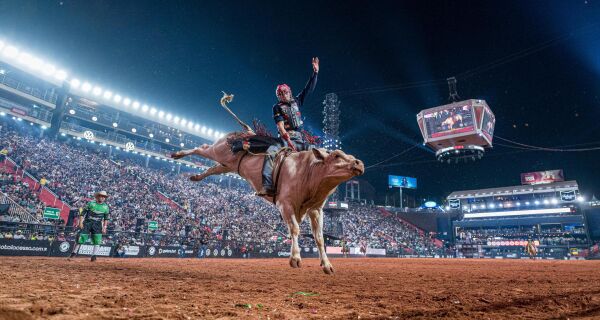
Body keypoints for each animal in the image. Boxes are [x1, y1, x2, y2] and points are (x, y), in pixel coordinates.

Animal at [171, 134, 364, 274]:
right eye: (336, 155)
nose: (359, 163)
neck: (307, 171)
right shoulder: (285, 204)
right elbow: (295, 229)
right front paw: (295, 258)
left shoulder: (316, 209)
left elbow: (319, 238)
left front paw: (327, 265)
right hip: (219, 151)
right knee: (202, 148)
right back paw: (177, 154)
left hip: (227, 165)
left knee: (213, 168)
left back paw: (195, 176)